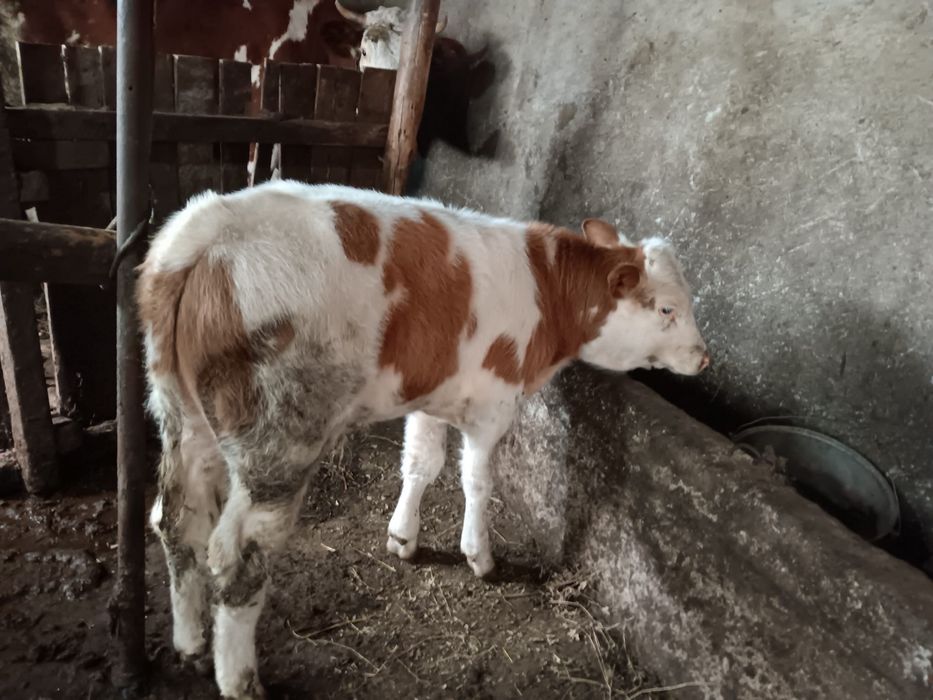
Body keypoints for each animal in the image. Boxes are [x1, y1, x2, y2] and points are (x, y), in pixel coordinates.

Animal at [137, 180, 710, 698]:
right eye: (667, 309)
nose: (703, 358)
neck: (547, 289)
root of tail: (209, 226)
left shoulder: (431, 392)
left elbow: (421, 462)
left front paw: (403, 537)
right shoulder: (493, 402)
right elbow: (477, 481)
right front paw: (479, 556)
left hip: (180, 414)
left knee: (174, 519)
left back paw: (189, 642)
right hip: (280, 439)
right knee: (238, 557)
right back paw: (239, 680)